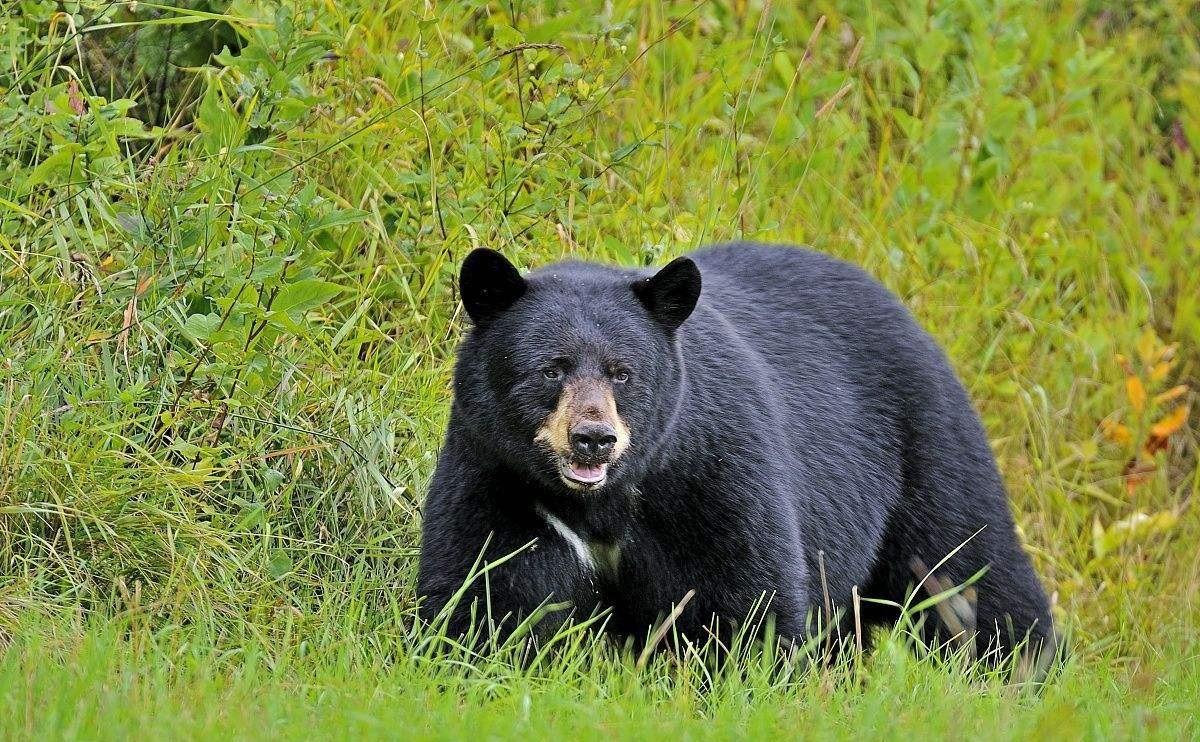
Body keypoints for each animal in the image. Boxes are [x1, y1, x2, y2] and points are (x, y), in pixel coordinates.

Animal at [417, 241, 1056, 662]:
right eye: (552, 368)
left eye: (623, 372)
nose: (593, 438)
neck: (602, 502)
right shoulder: (497, 475)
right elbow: (486, 587)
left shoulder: (712, 471)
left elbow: (746, 596)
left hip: (925, 447)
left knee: (968, 565)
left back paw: (1023, 668)